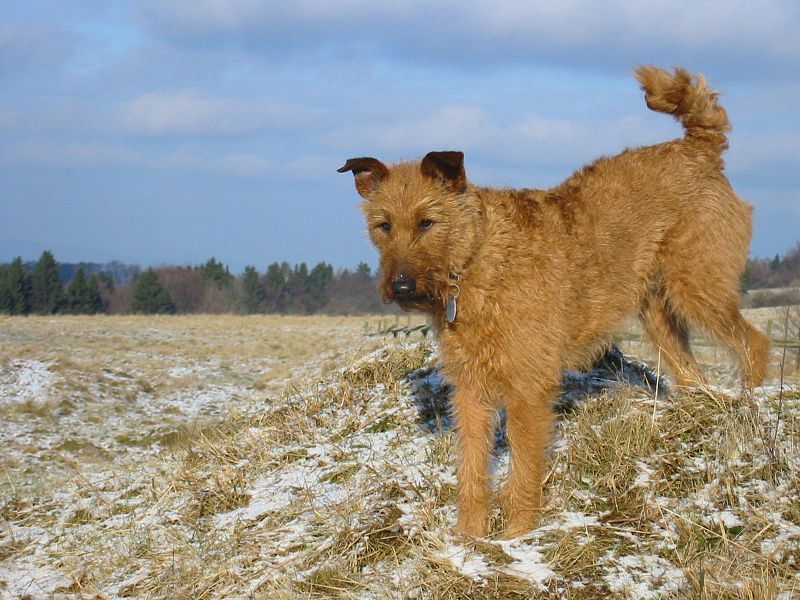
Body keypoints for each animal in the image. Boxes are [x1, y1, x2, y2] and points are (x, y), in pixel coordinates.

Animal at [336, 67, 768, 540]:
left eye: (427, 222)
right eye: (383, 225)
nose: (401, 287)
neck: (478, 259)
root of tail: (697, 148)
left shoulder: (528, 388)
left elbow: (523, 468)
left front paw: (517, 536)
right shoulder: (470, 389)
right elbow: (472, 469)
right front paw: (469, 538)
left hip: (698, 286)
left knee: (754, 342)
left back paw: (751, 405)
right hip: (657, 312)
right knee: (691, 371)